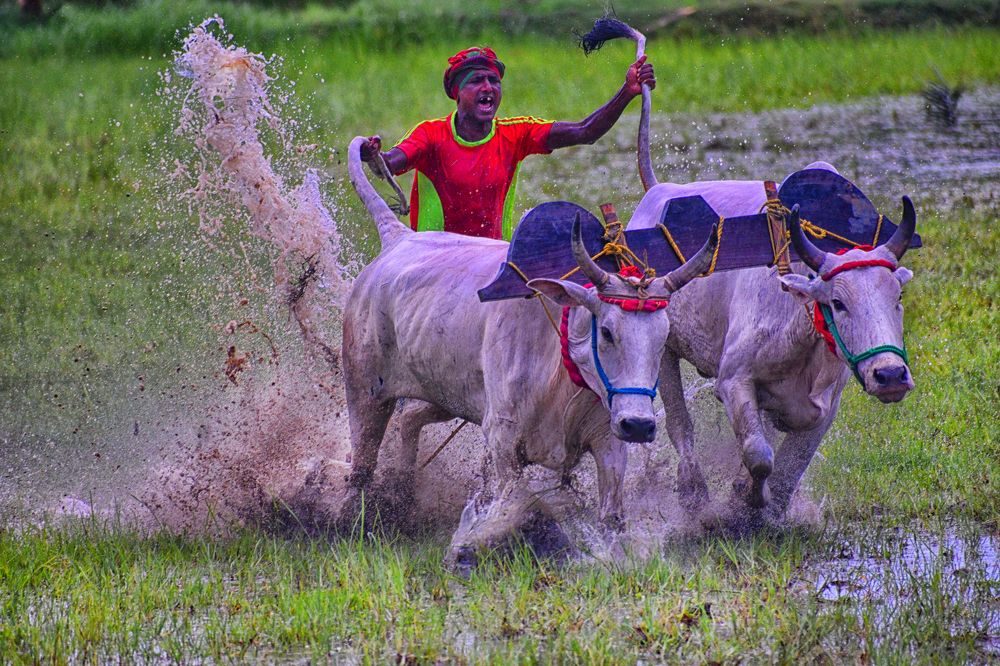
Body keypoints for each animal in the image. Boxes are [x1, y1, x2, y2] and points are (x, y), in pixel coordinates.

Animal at [343, 136, 718, 569]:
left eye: (663, 336)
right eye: (607, 331)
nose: (639, 426)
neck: (561, 368)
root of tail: (398, 238)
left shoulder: (609, 442)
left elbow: (611, 517)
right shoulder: (502, 439)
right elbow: (509, 505)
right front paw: (470, 547)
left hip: (446, 394)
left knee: (411, 421)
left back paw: (403, 497)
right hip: (364, 389)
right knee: (362, 463)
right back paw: (348, 519)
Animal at [627, 165, 917, 525]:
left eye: (898, 296)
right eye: (837, 302)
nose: (890, 376)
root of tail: (658, 189)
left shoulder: (824, 406)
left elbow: (791, 467)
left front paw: (771, 513)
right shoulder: (734, 380)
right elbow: (759, 454)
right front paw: (748, 500)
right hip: (664, 350)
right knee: (680, 425)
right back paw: (693, 492)